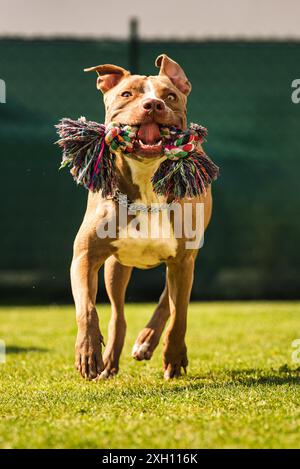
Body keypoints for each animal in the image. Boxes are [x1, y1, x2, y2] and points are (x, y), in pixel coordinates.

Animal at [71, 53, 212, 378]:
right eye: (126, 94)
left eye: (169, 96)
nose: (153, 105)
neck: (146, 181)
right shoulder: (85, 255)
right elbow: (87, 308)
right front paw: (88, 351)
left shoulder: (183, 258)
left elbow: (179, 314)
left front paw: (174, 356)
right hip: (116, 266)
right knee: (118, 314)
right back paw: (109, 360)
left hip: (186, 258)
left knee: (168, 301)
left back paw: (147, 341)